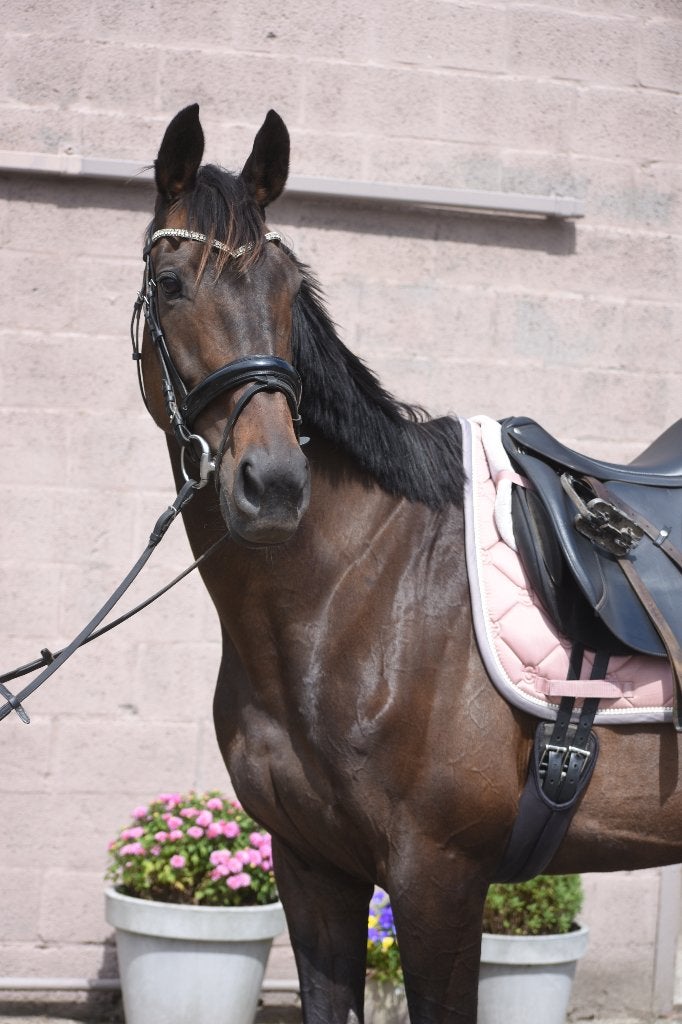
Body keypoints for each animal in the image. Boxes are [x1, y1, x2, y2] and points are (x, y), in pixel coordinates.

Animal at [135, 103, 682, 1024]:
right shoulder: (314, 870)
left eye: (289, 292)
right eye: (171, 284)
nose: (274, 484)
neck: (355, 594)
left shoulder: (437, 881)